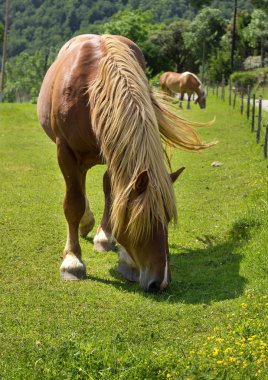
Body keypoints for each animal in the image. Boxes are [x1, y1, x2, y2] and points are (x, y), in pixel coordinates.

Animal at [37, 34, 215, 292]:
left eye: (167, 219)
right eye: (144, 222)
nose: (160, 283)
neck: (91, 87)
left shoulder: (116, 150)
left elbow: (114, 196)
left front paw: (125, 259)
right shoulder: (65, 151)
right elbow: (73, 203)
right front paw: (72, 261)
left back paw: (101, 234)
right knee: (79, 187)